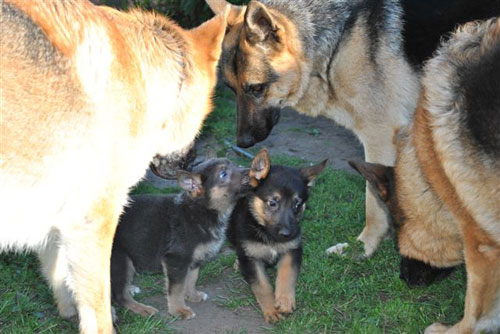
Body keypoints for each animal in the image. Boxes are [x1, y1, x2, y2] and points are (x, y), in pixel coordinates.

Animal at [228, 150, 328, 322]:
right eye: (272, 203)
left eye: (297, 204)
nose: (286, 234)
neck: (269, 236)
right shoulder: (251, 258)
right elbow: (262, 286)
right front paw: (271, 310)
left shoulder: (292, 250)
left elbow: (287, 275)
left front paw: (285, 301)